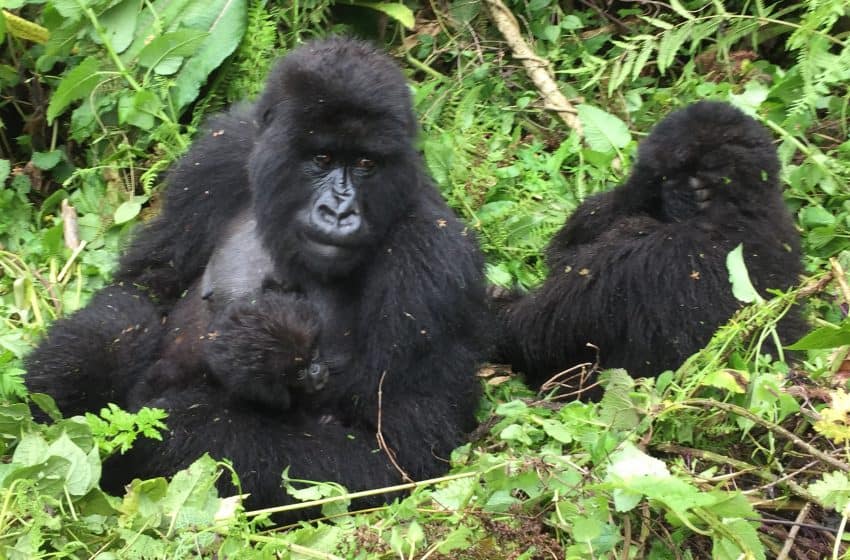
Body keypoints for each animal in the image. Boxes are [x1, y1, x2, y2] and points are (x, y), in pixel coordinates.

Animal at [26, 37, 486, 516]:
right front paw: (77, 368)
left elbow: (394, 452)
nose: (338, 212)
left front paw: (157, 439)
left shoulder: (431, 261)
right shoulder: (218, 155)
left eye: (365, 164)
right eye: (322, 158)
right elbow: (144, 287)